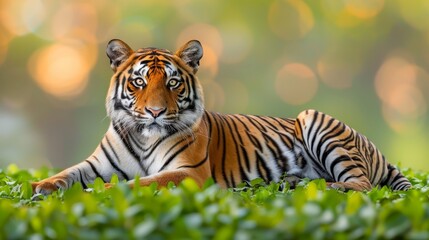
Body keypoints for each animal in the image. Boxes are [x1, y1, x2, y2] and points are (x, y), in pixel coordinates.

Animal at [30, 38, 412, 195]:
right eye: (138, 82)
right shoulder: (95, 165)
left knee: (360, 184)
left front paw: (104, 191)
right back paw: (291, 182)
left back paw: (325, 186)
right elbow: (67, 173)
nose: (154, 112)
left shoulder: (188, 173)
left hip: (314, 119)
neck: (143, 136)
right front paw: (40, 186)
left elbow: (143, 182)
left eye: (172, 82)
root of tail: (373, 145)